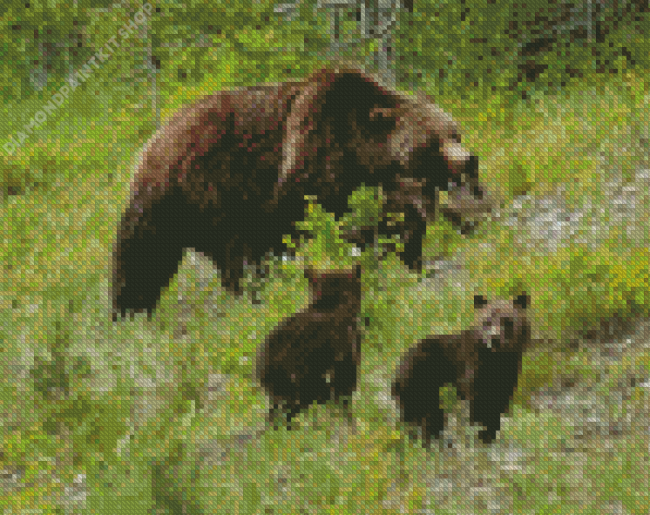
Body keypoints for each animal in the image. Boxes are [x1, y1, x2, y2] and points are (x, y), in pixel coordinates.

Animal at [111, 64, 488, 318]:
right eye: (433, 141)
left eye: (454, 130)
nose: (468, 159)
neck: (361, 149)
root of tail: (152, 138)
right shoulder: (310, 159)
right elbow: (315, 221)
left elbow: (396, 220)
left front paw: (412, 255)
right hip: (187, 191)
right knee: (144, 252)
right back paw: (129, 311)